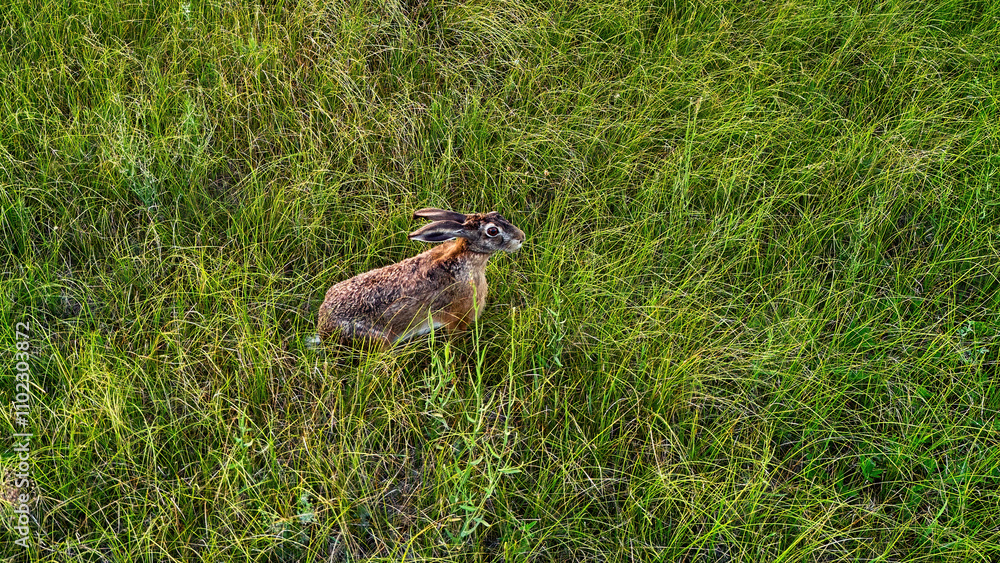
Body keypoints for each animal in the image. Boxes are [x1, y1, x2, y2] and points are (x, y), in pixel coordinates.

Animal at [316, 208, 525, 348]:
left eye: (497, 213)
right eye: (493, 231)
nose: (521, 237)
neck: (464, 258)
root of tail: (323, 325)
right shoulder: (458, 318)